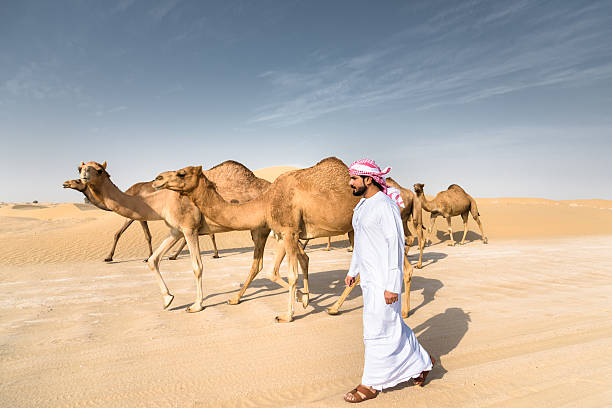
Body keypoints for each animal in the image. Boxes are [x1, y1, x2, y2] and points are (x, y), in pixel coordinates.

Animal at [77, 160, 270, 312]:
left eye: (99, 170)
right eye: (80, 168)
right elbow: (153, 260)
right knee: (258, 264)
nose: (84, 175)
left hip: (261, 229)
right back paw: (236, 298)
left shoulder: (189, 228)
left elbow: (197, 267)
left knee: (258, 263)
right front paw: (167, 299)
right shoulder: (175, 231)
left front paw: (196, 305)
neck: (159, 201)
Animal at [151, 156, 414, 322]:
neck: (265, 200)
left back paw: (397, 312)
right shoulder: (281, 232)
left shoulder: (288, 230)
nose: (158, 179)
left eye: (181, 173)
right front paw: (305, 300)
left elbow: (291, 274)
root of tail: (401, 192)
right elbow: (274, 271)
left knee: (399, 267)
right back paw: (337, 308)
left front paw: (288, 315)